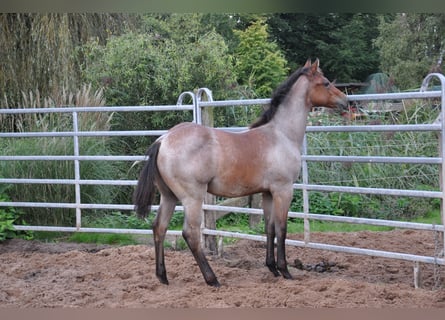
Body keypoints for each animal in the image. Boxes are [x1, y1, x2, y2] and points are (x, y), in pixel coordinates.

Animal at [134, 59, 348, 288]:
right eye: (326, 83)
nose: (346, 101)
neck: (281, 135)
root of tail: (163, 140)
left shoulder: (267, 193)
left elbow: (269, 228)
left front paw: (272, 268)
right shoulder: (283, 190)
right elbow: (282, 229)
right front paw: (285, 270)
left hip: (169, 197)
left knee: (159, 228)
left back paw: (163, 277)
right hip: (192, 198)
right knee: (190, 234)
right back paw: (212, 279)